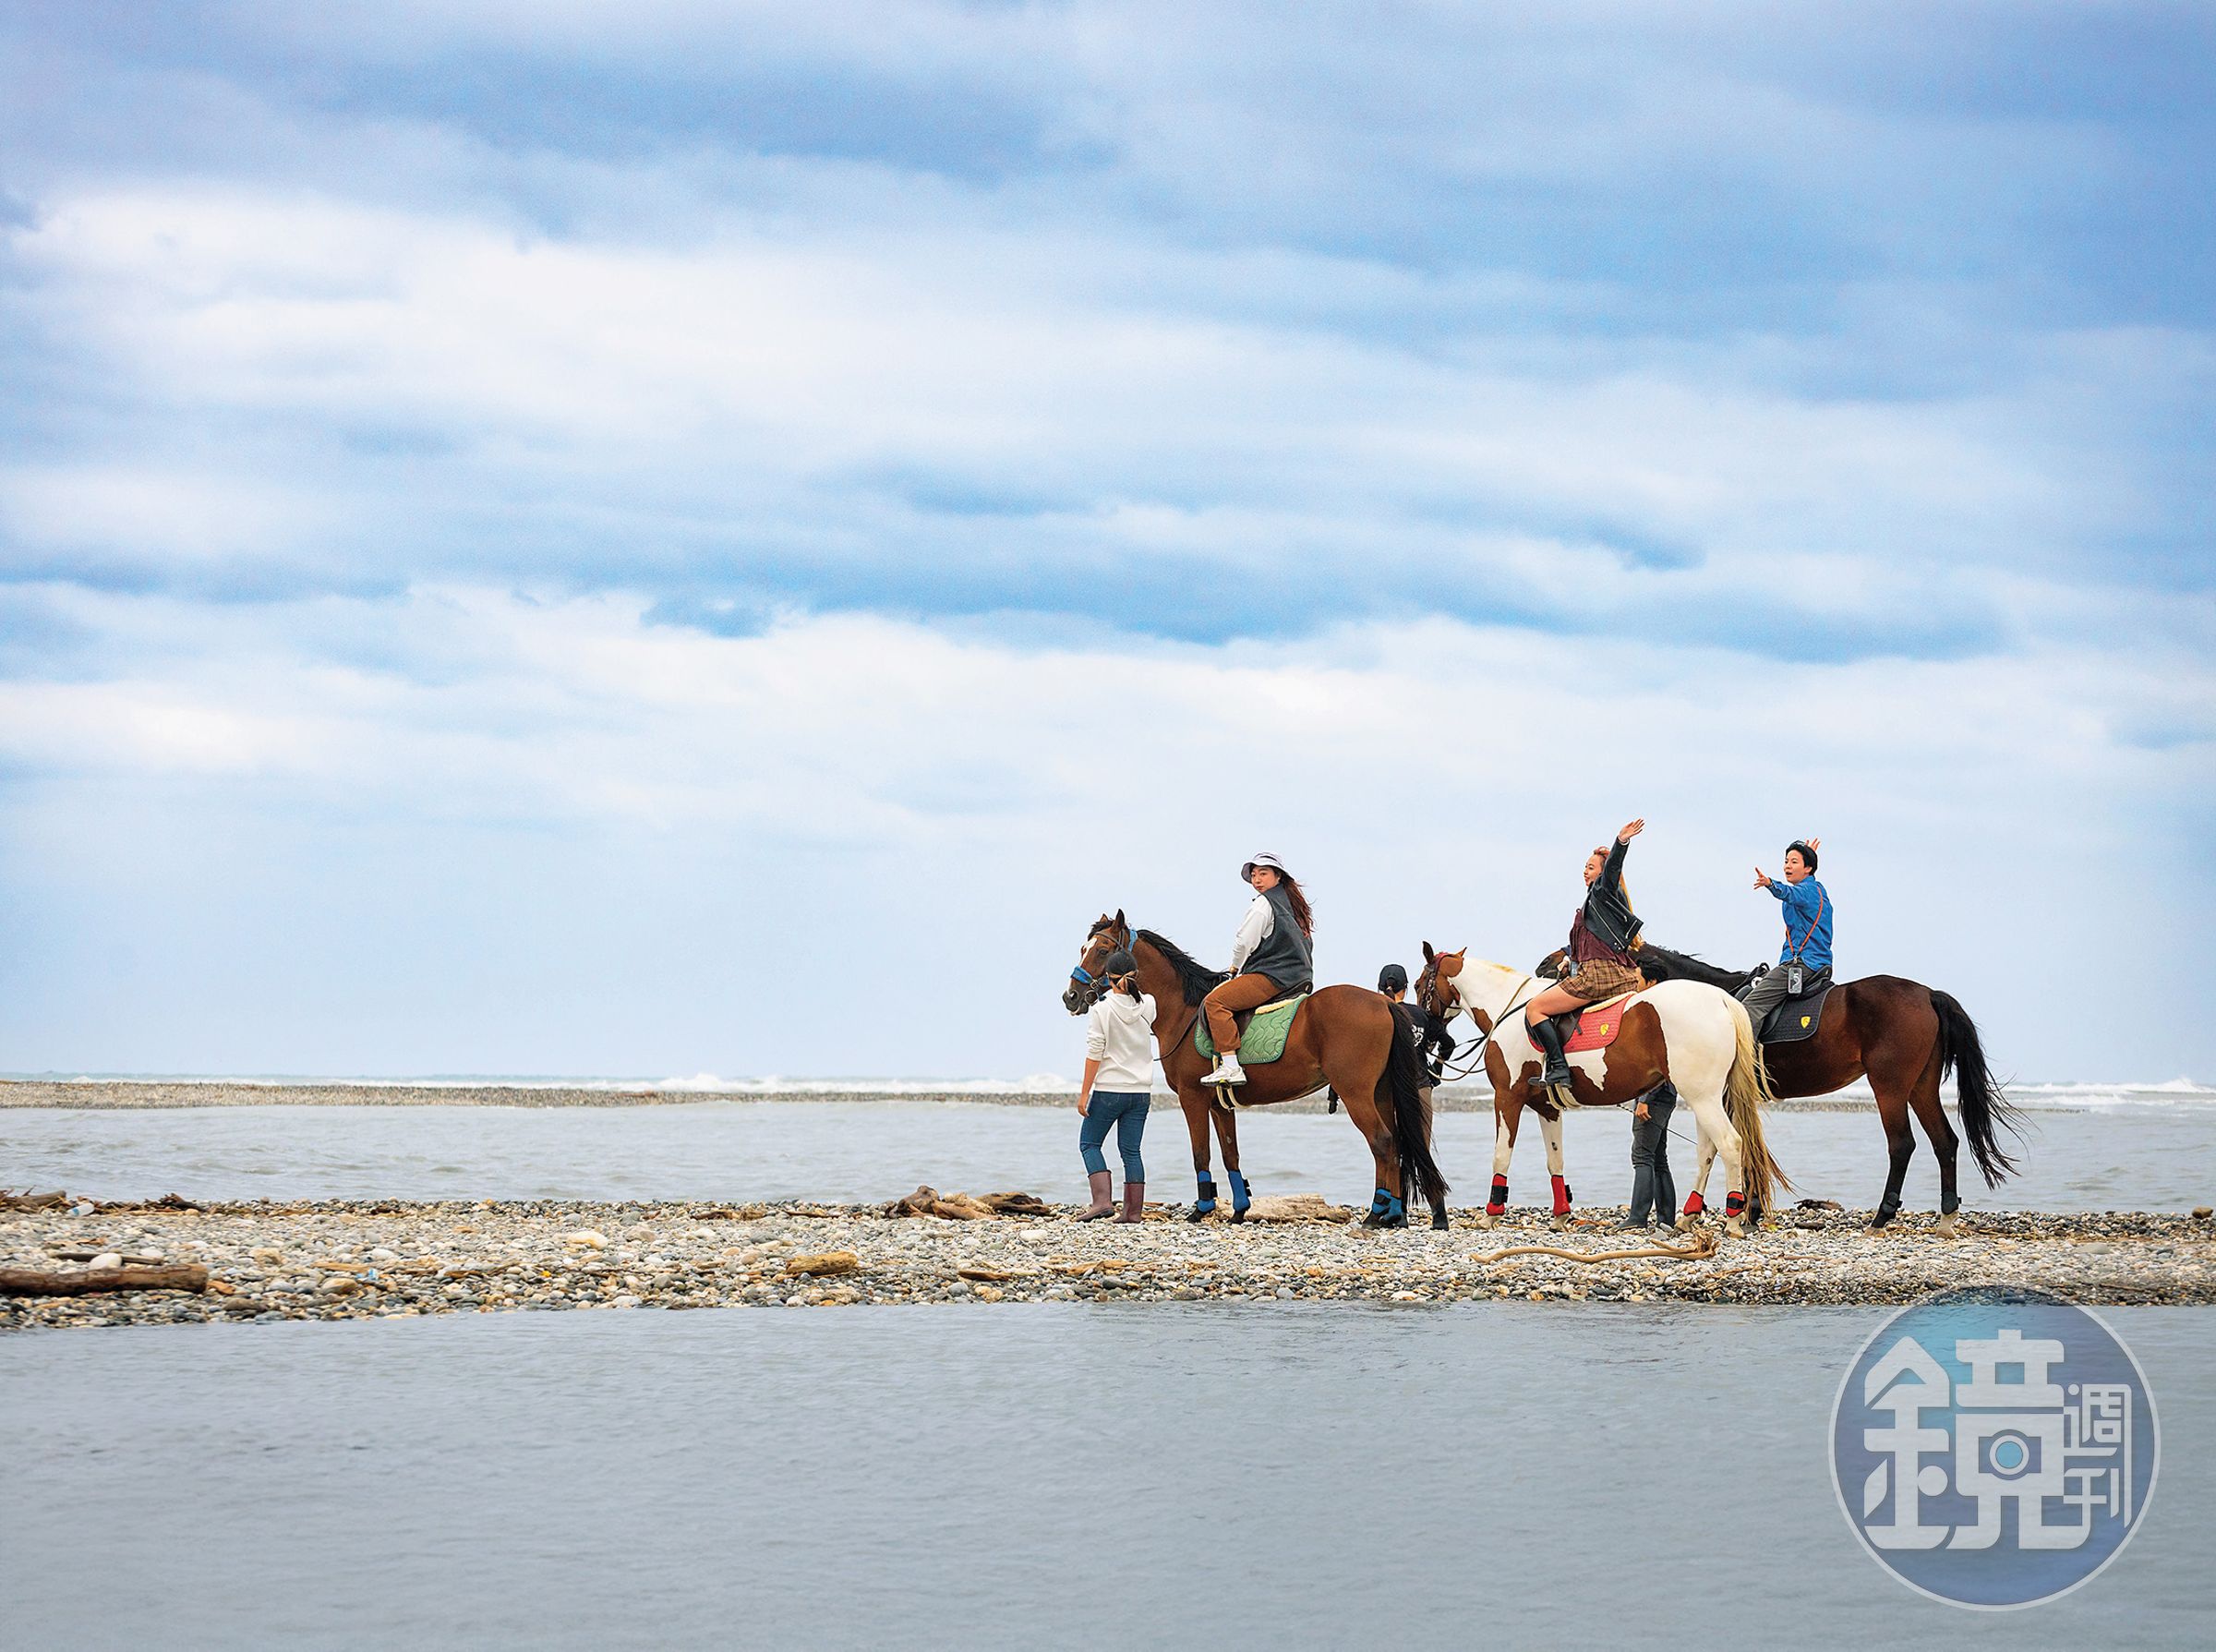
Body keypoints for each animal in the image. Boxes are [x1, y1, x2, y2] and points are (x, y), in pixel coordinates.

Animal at [1062, 911, 1450, 1228]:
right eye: (1083, 947)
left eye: (1101, 951)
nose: (1070, 996)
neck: (1184, 1011)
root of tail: (1384, 1004)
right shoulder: (1219, 1104)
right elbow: (1230, 1153)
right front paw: (1238, 1209)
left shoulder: (1192, 1098)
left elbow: (1200, 1152)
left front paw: (1202, 1209)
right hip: (1381, 1092)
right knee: (1396, 1144)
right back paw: (1393, 1213)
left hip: (1356, 1094)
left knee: (1382, 1142)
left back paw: (1375, 1213)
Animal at [1414, 944, 1784, 1238]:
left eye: (1419, 985)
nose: (1430, 1036)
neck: (1510, 1008)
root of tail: (1720, 999)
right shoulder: (1547, 1108)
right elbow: (1555, 1159)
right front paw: (1561, 1216)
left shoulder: (1508, 1097)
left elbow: (1501, 1155)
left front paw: (1490, 1215)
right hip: (1704, 1097)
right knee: (1708, 1150)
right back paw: (1688, 1217)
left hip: (1703, 1097)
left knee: (1730, 1144)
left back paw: (1733, 1219)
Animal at [1591, 942, 2022, 1236]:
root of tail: (1928, 994)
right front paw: (1744, 1212)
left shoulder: (1725, 1094)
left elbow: (1740, 1148)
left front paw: (1744, 1212)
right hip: (1921, 1085)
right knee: (1944, 1141)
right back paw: (1947, 1218)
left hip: (1890, 1086)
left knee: (1902, 1145)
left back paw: (1881, 1217)